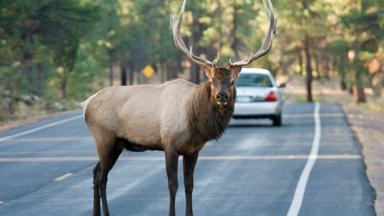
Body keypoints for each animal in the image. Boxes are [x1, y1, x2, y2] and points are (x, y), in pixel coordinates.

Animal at [83, 0, 276, 215]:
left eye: (232, 81)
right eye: (211, 80)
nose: (222, 96)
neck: (195, 121)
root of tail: (86, 104)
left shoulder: (193, 150)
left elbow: (189, 184)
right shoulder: (169, 145)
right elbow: (173, 184)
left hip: (116, 144)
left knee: (95, 172)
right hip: (104, 137)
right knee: (102, 178)